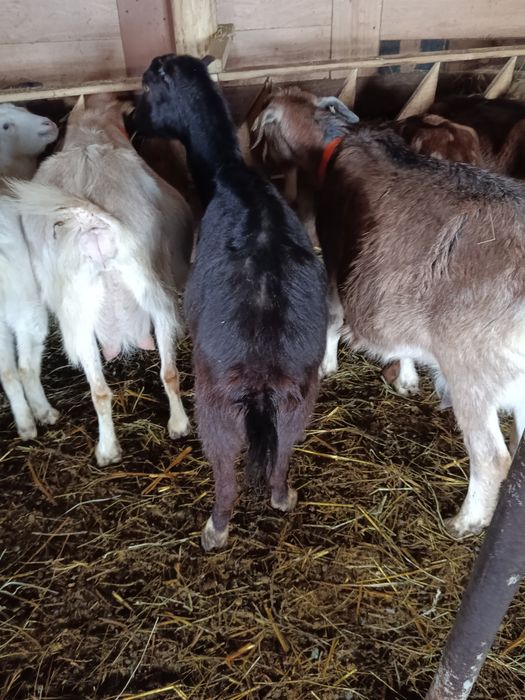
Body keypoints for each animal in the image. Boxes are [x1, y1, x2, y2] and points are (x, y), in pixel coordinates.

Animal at [8, 93, 193, 466]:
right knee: (145, 379)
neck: (91, 134)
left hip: (82, 314)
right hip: (147, 295)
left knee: (112, 386)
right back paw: (157, 433)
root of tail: (89, 220)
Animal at [133, 55, 327, 550]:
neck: (227, 170)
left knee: (226, 476)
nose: (132, 121)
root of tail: (263, 373)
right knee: (282, 458)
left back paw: (215, 528)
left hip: (216, 409)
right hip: (298, 405)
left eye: (148, 88)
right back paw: (283, 497)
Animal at [254, 86, 525, 538]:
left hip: (472, 370)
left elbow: (332, 317)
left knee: (490, 458)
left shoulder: (335, 256)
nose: (262, 165)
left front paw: (326, 365)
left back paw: (464, 522)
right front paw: (407, 378)